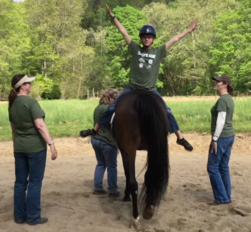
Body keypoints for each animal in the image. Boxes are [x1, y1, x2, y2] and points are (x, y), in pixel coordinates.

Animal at [113, 89, 169, 230]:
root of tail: (141, 96)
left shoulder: (124, 150)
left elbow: (127, 174)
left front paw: (126, 195)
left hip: (129, 148)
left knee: (134, 182)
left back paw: (135, 219)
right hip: (154, 147)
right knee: (151, 175)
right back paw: (148, 210)